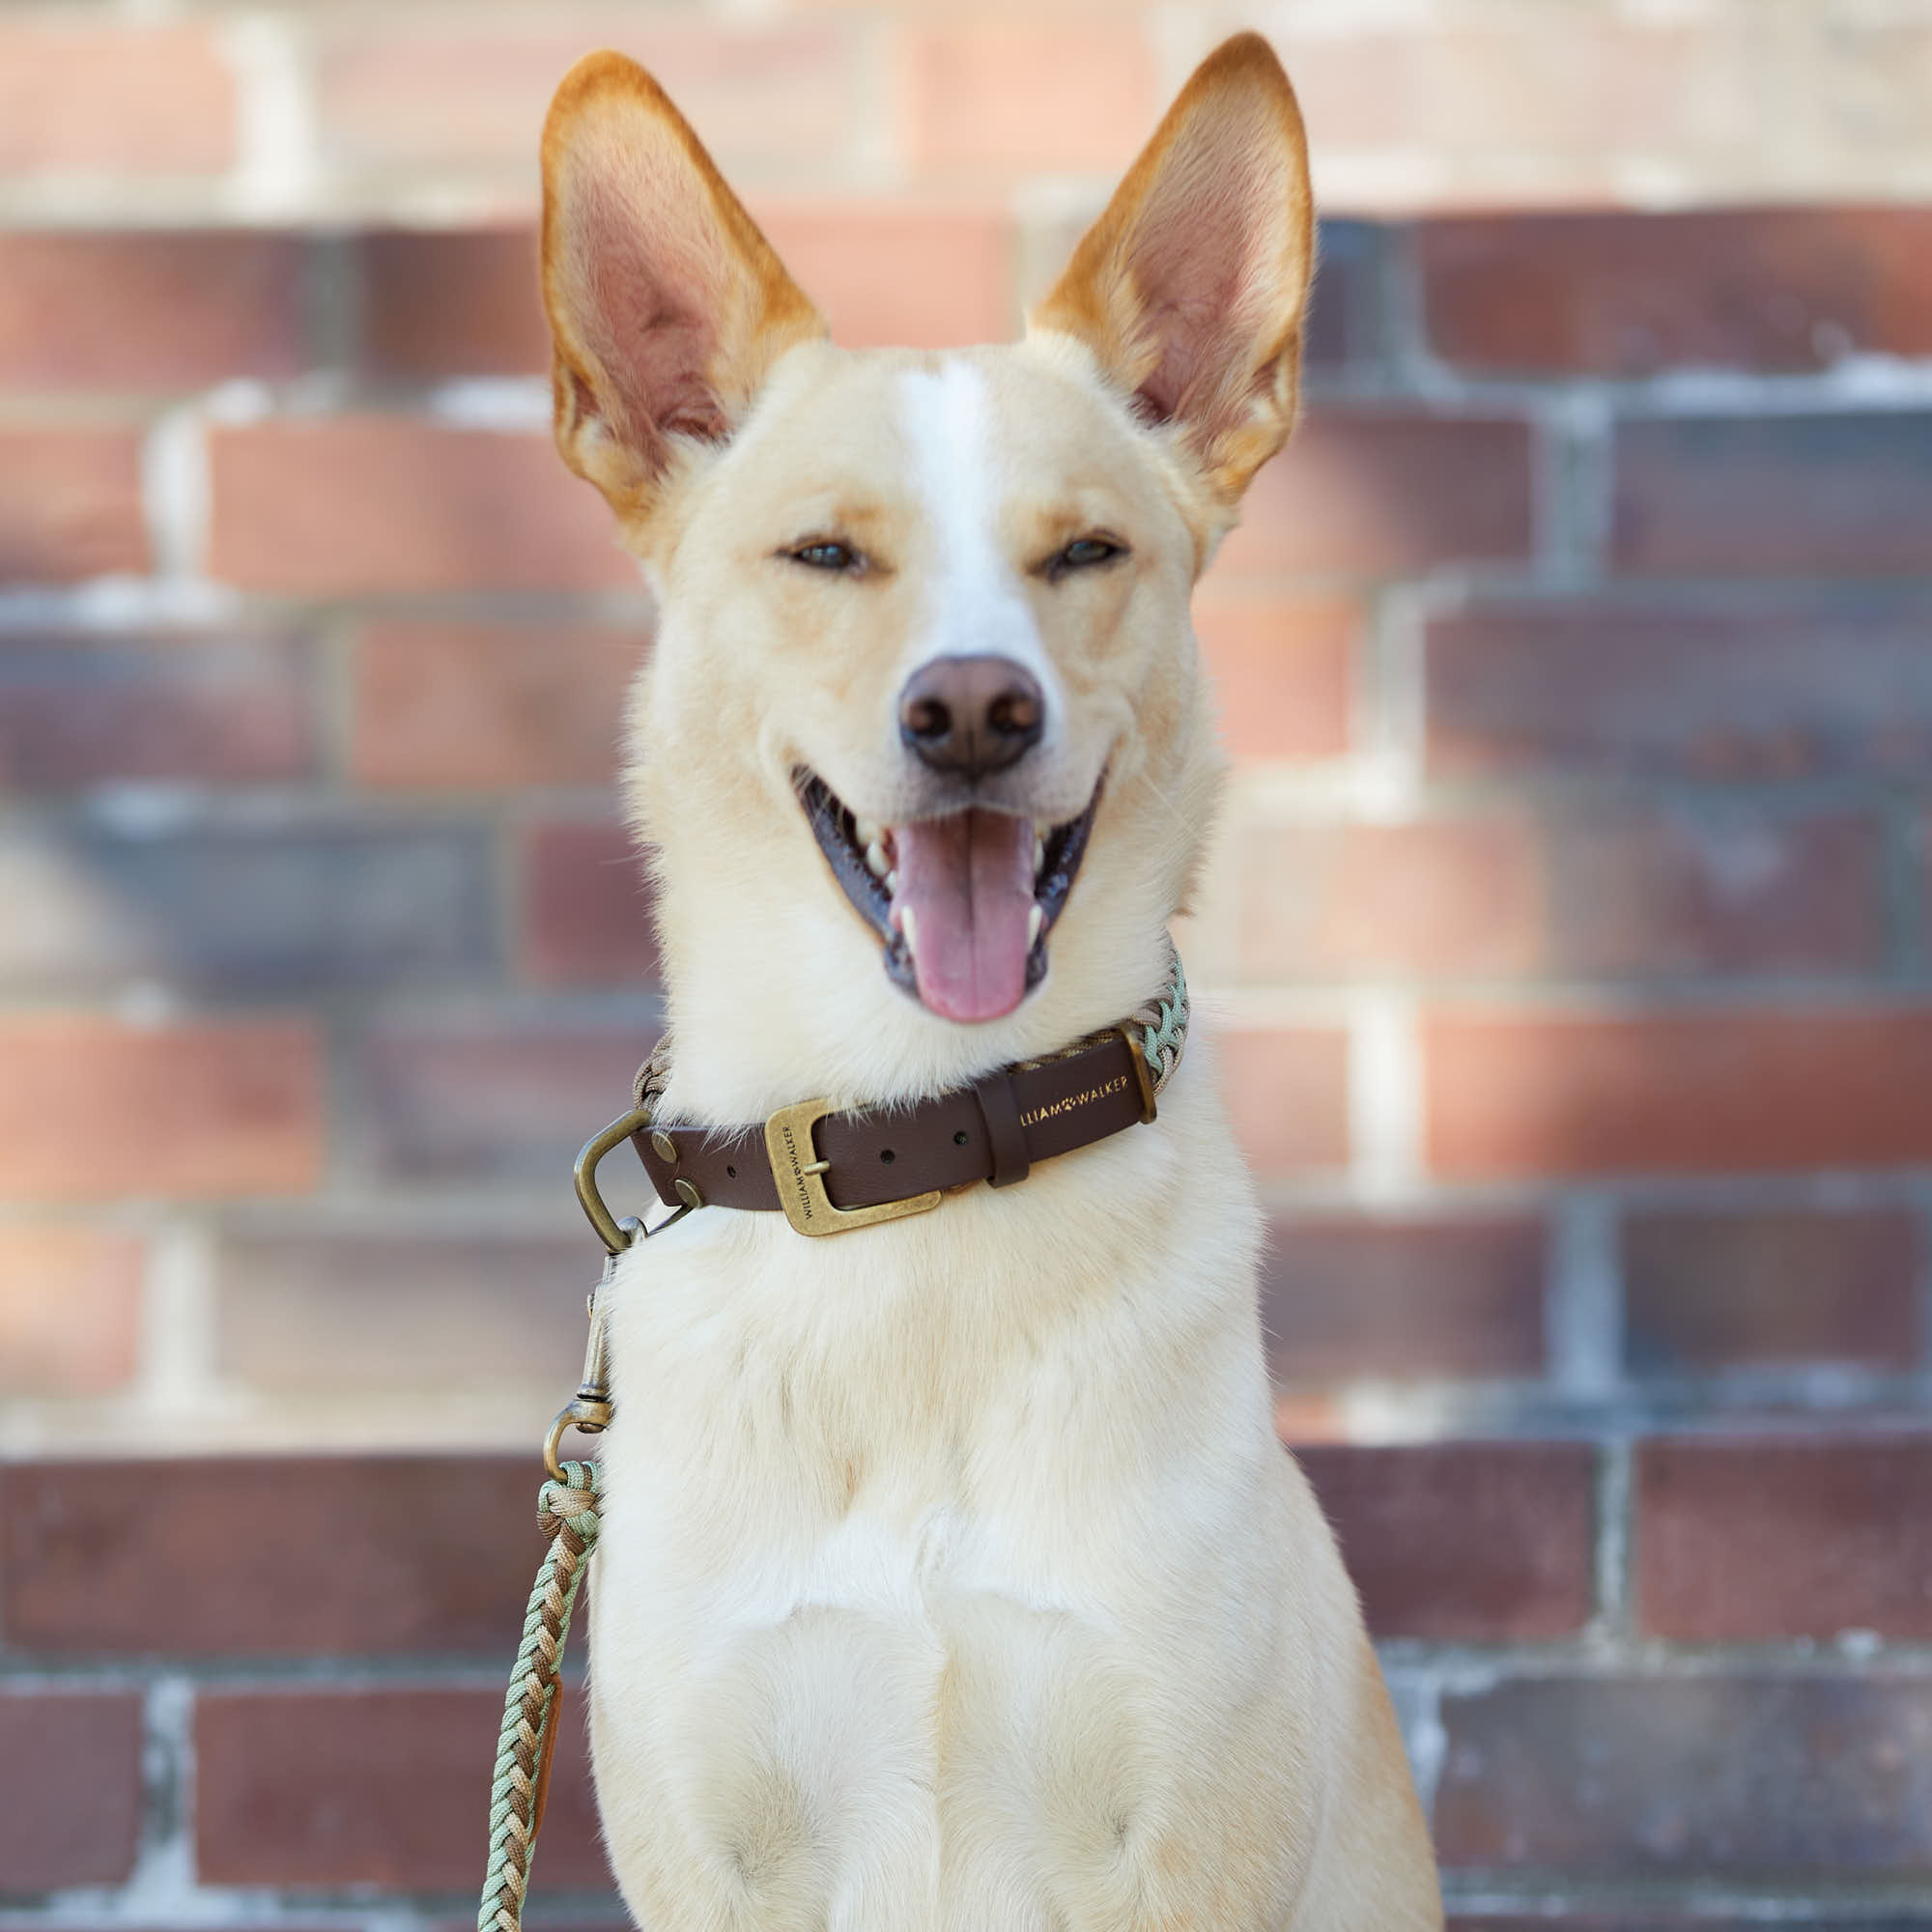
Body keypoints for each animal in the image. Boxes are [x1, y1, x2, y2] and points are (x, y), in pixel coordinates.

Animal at [537, 30, 1445, 1932]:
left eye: (1084, 554)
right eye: (825, 556)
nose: (973, 711)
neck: (918, 1148)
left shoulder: (1190, 1838)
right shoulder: (712, 1850)